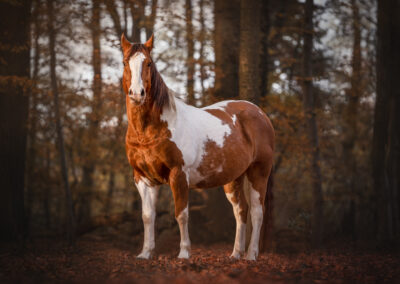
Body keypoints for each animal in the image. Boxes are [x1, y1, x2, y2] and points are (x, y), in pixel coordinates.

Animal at [120, 33, 274, 260]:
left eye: (148, 63)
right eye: (125, 63)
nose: (137, 94)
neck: (150, 131)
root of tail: (261, 114)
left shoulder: (178, 175)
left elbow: (181, 214)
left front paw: (184, 254)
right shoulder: (143, 178)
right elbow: (147, 216)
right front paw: (145, 253)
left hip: (259, 173)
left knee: (257, 211)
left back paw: (251, 255)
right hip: (233, 178)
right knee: (241, 211)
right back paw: (235, 254)